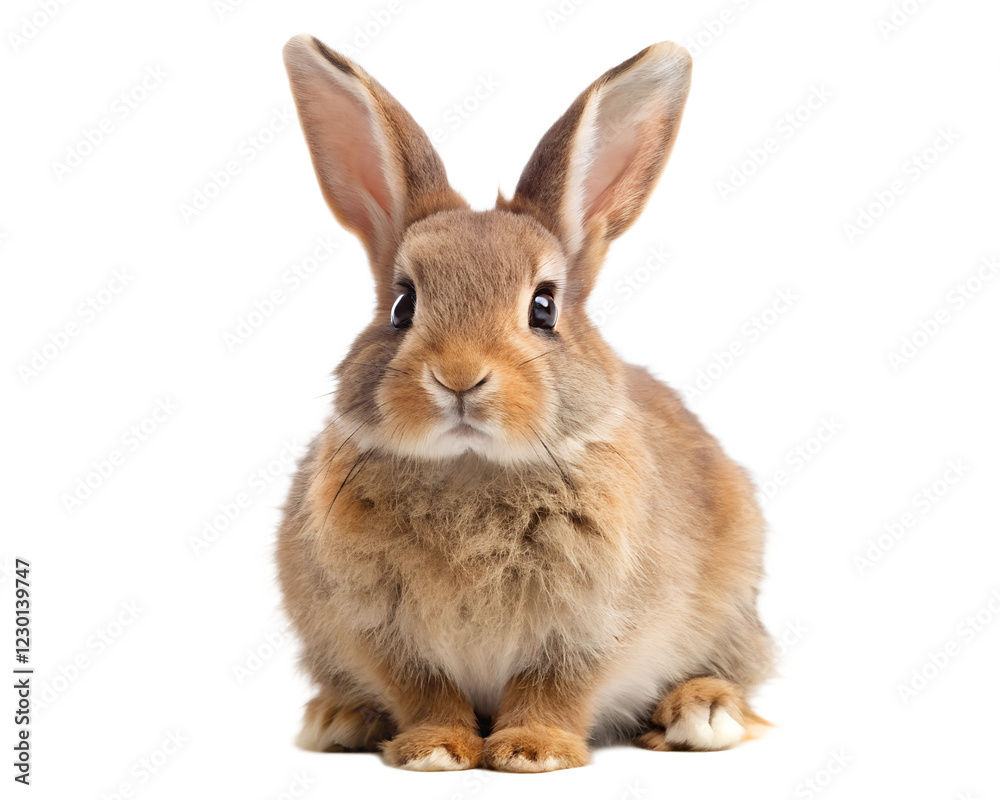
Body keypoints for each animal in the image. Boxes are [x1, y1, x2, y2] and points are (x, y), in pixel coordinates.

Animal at [276, 33, 773, 772]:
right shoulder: (379, 630)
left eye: (544, 306)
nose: (459, 377)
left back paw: (702, 712)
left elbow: (556, 685)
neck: (471, 471)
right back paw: (340, 718)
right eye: (401, 306)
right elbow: (424, 690)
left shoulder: (591, 626)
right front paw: (434, 749)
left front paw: (532, 751)